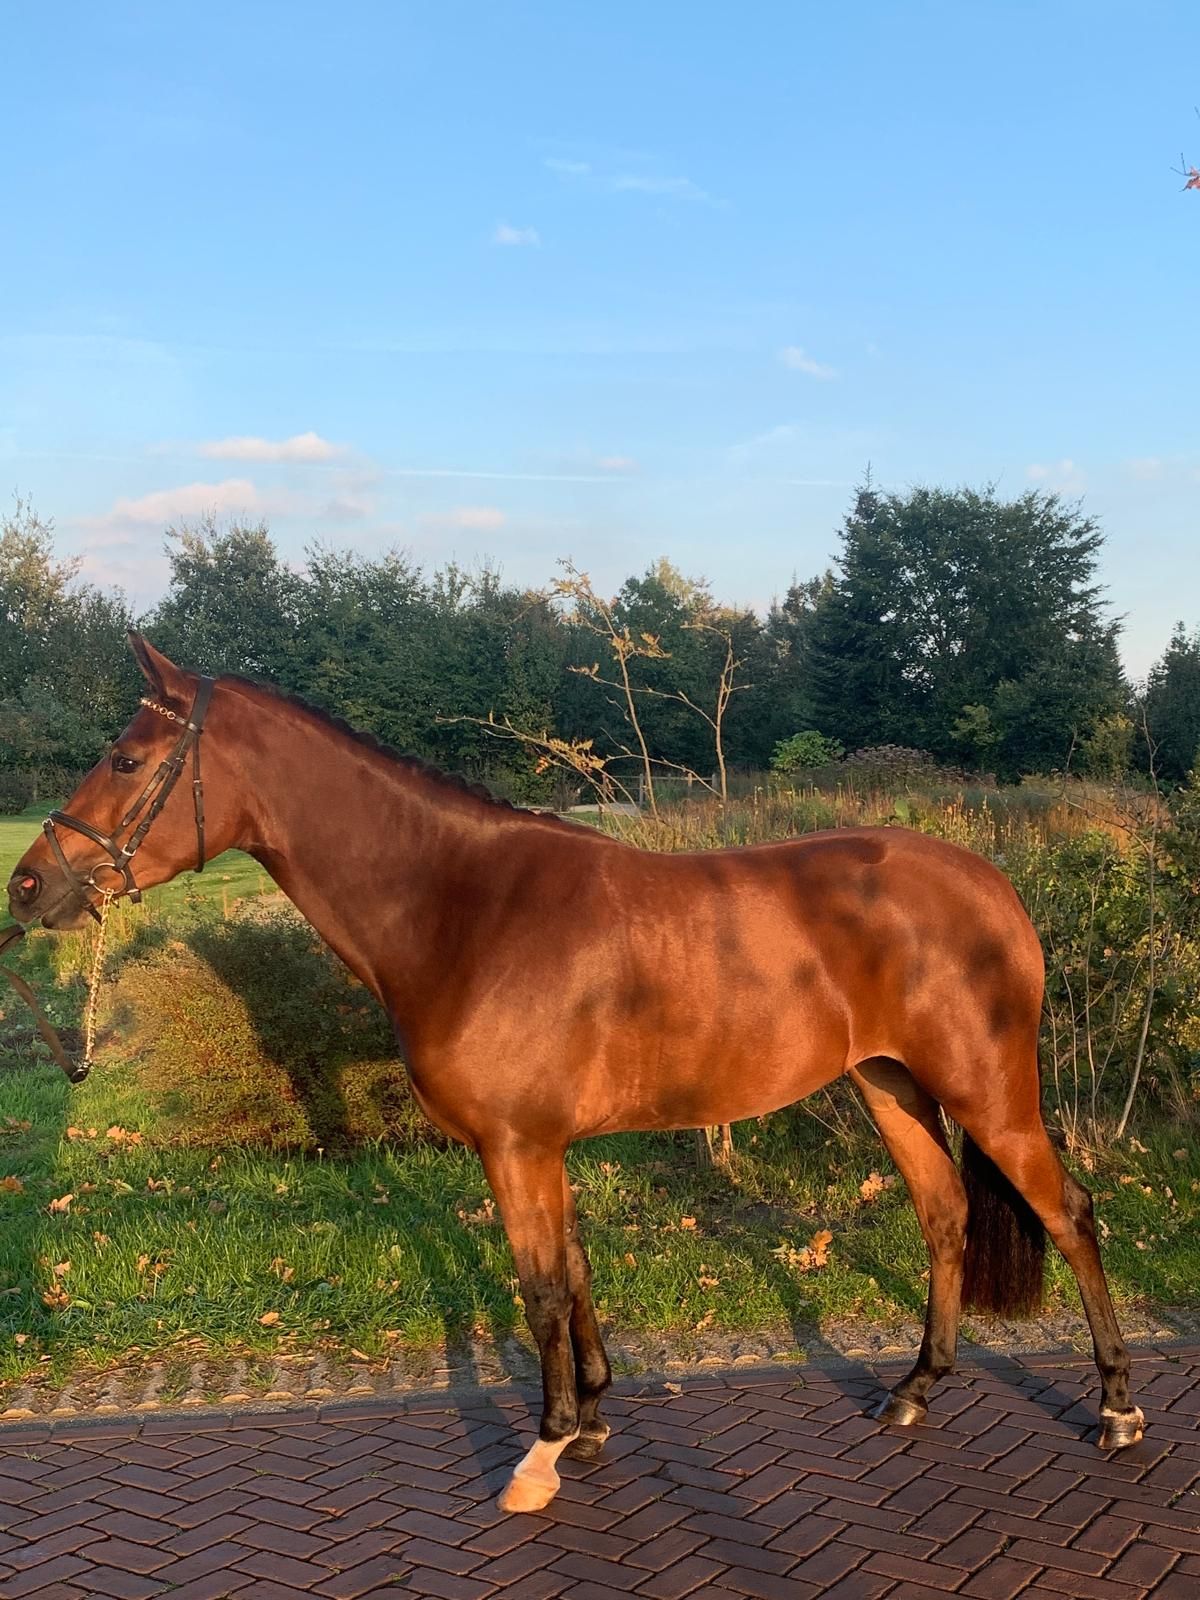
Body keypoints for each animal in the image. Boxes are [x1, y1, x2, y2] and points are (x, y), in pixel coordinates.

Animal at [7, 633, 1143, 1514]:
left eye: (125, 758)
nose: (28, 885)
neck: (466, 908)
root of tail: (992, 885)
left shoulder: (515, 1145)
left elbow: (542, 1285)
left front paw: (543, 1451)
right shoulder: (541, 1145)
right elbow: (578, 1272)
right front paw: (592, 1424)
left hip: (987, 1090)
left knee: (1070, 1212)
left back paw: (1118, 1408)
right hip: (889, 1084)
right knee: (947, 1214)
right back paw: (916, 1389)